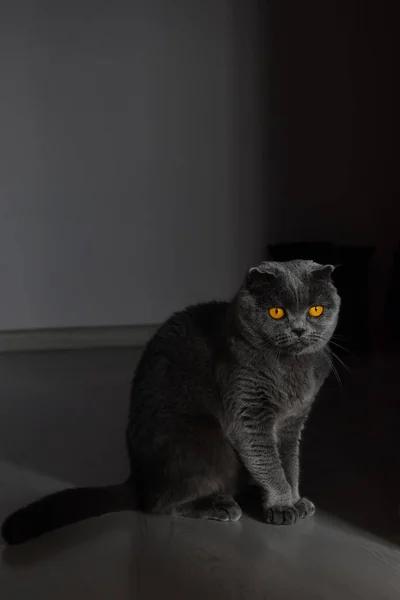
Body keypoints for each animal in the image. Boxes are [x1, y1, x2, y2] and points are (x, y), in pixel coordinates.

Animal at [1, 258, 340, 544]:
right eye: (277, 312)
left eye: (316, 310)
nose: (299, 330)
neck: (293, 368)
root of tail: (138, 479)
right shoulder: (249, 414)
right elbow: (268, 462)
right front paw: (282, 505)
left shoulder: (292, 421)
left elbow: (289, 462)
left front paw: (294, 498)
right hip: (201, 437)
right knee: (161, 504)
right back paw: (219, 505)